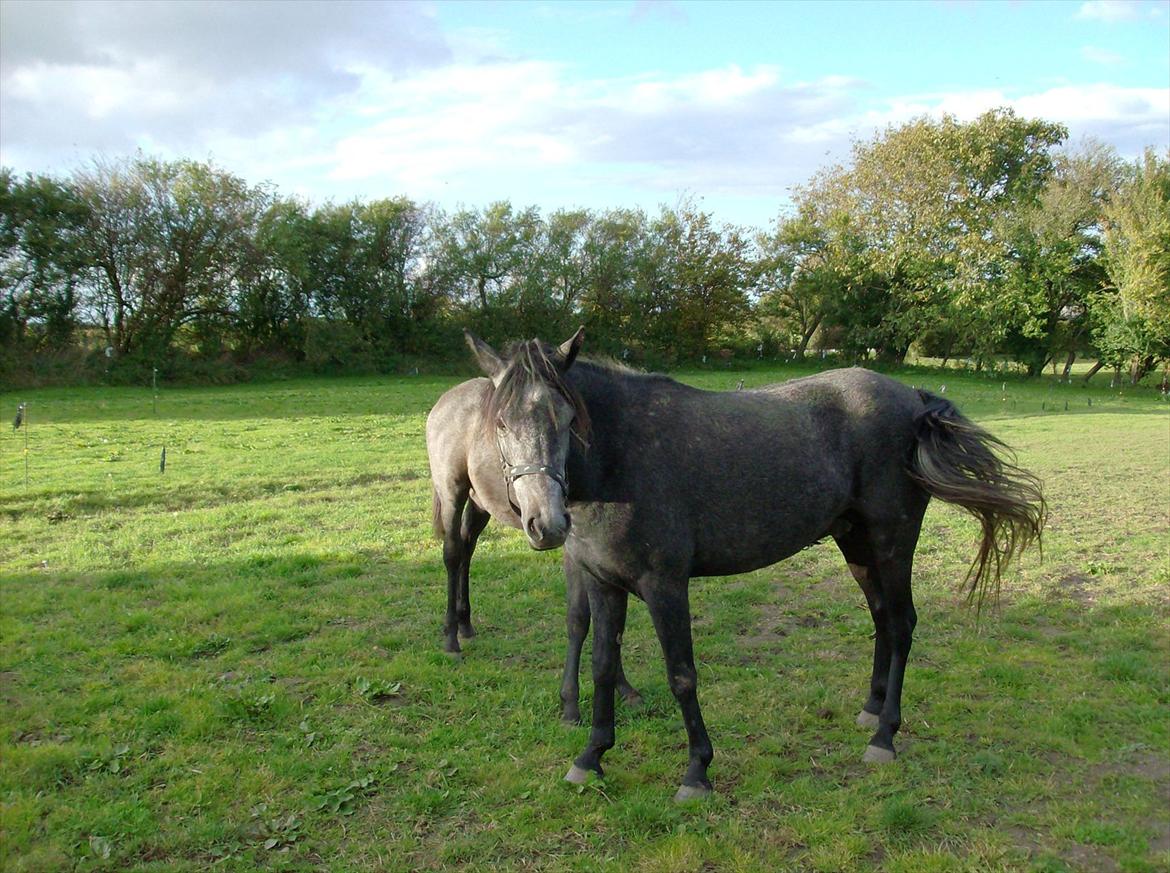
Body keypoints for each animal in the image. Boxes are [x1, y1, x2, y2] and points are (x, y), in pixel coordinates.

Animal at [425, 327, 641, 720]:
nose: (548, 524)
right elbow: (580, 616)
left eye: (570, 419)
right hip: (452, 491)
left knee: (466, 549)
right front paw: (571, 704)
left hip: (480, 504)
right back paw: (450, 637)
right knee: (451, 552)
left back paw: (466, 625)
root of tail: (445, 401)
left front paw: (623, 686)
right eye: (501, 423)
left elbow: (608, 620)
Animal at [453, 330, 1043, 800]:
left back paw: (884, 737)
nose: (544, 522)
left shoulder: (665, 585)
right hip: (857, 545)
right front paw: (591, 757)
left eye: (568, 417)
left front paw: (697, 772)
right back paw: (871, 711)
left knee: (900, 625)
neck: (621, 462)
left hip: (893, 542)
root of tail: (913, 399)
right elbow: (601, 667)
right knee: (881, 619)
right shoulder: (604, 584)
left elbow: (682, 675)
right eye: (500, 424)